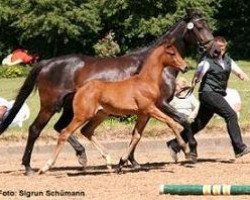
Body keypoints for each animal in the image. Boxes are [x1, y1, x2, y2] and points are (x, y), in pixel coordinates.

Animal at [39, 38, 189, 173]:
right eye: (172, 53)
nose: (185, 67)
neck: (145, 81)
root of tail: (78, 90)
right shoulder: (150, 108)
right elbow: (171, 122)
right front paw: (186, 149)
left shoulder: (143, 113)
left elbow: (136, 136)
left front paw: (121, 163)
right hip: (82, 115)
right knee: (65, 133)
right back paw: (45, 167)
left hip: (100, 114)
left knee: (86, 131)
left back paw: (108, 161)